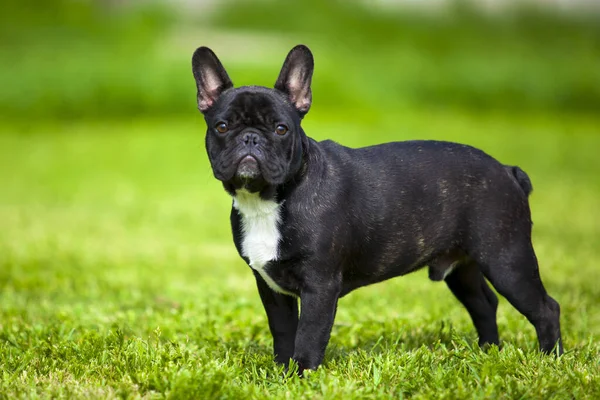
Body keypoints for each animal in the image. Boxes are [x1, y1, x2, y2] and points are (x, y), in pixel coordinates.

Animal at [192, 43, 564, 372]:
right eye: (222, 126)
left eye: (281, 129)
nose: (250, 138)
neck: (269, 198)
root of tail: (507, 170)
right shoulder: (270, 286)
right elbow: (283, 332)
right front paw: (281, 373)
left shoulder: (319, 287)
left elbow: (308, 336)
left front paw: (302, 375)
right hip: (463, 268)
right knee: (484, 304)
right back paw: (488, 352)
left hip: (506, 259)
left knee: (546, 308)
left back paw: (550, 360)